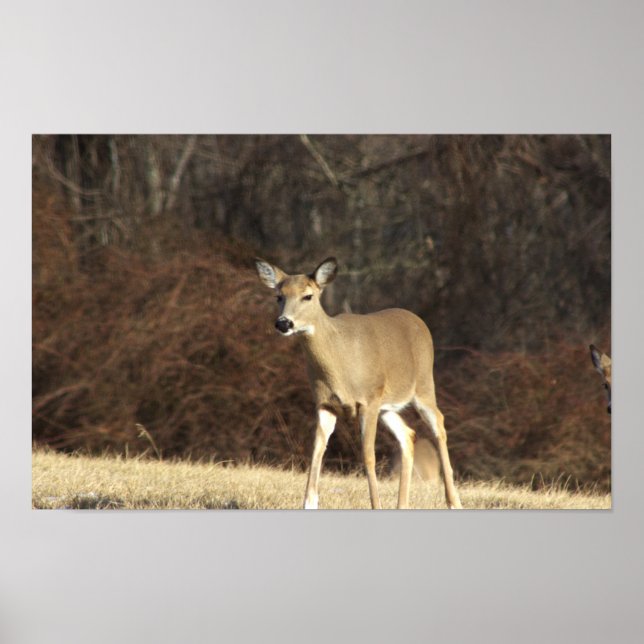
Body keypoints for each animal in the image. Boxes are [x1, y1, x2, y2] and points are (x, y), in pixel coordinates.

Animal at [255, 256, 462, 510]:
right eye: (279, 296)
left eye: (308, 296)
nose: (283, 323)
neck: (339, 366)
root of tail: (418, 321)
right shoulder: (325, 403)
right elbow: (317, 450)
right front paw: (309, 503)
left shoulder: (368, 400)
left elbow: (368, 455)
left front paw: (376, 505)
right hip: (387, 406)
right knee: (408, 434)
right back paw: (403, 504)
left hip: (423, 386)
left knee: (438, 424)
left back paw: (454, 502)